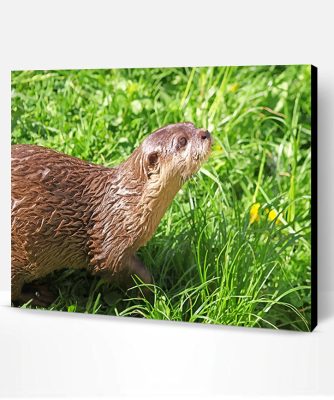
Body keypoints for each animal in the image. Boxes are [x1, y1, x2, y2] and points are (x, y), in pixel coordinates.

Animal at [11, 123, 211, 304]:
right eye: (182, 141)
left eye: (191, 125)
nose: (205, 133)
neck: (126, 203)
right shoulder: (110, 241)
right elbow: (118, 267)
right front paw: (151, 294)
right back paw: (38, 295)